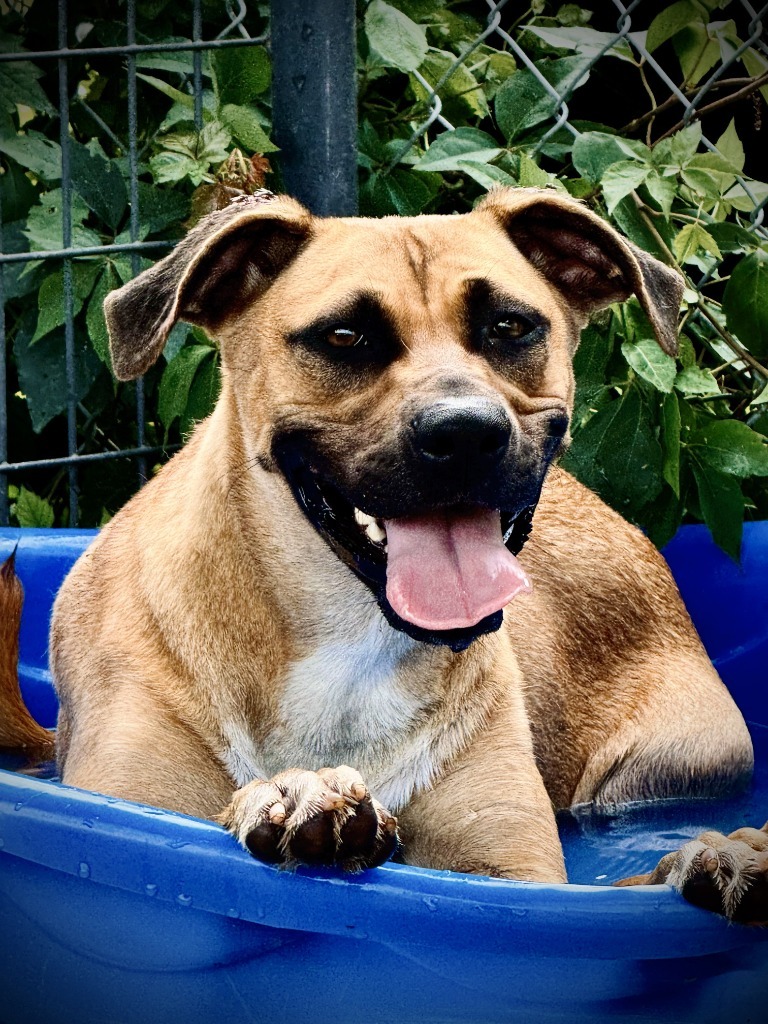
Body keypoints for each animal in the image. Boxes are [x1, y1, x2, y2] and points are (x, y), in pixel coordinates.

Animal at [1, 188, 768, 925]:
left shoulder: (513, 875)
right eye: (345, 336)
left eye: (509, 327)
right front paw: (299, 797)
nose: (464, 434)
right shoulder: (135, 797)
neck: (346, 645)